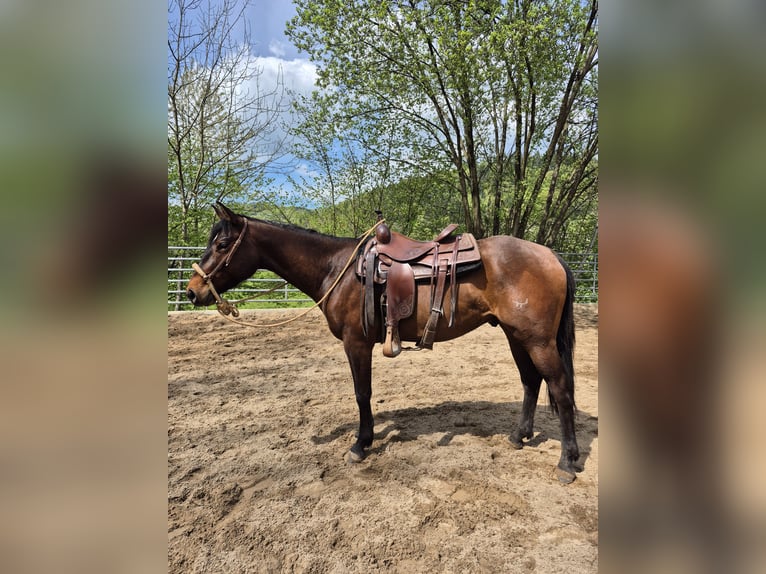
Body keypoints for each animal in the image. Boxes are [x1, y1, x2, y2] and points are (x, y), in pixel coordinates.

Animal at [185, 202, 581, 482]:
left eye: (222, 244)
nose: (192, 291)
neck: (337, 269)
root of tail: (551, 255)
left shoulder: (356, 343)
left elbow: (362, 392)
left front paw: (361, 444)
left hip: (538, 340)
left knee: (560, 389)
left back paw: (568, 461)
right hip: (516, 335)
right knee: (531, 382)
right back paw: (519, 436)